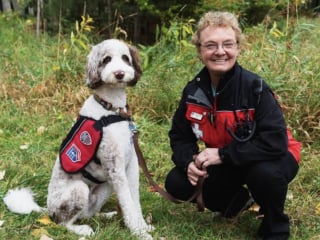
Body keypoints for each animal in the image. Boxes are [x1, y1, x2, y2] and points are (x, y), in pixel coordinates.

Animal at [46, 39, 154, 238]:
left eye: (125, 58)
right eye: (106, 59)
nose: (119, 74)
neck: (112, 110)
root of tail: (47, 210)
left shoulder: (131, 166)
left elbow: (134, 201)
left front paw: (143, 226)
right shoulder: (116, 168)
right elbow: (128, 203)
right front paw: (139, 233)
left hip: (106, 186)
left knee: (87, 213)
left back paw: (106, 216)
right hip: (79, 189)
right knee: (64, 222)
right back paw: (82, 229)